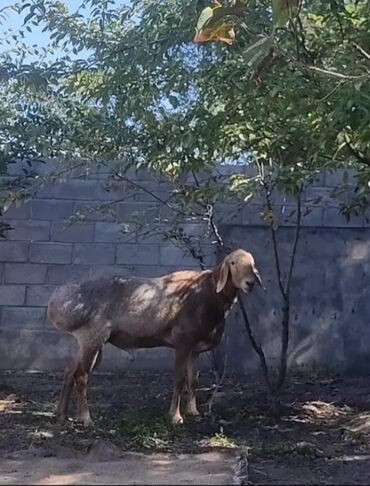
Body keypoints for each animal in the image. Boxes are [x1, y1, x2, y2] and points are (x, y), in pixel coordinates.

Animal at [47, 249, 262, 428]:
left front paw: (193, 411)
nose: (250, 283)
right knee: (81, 377)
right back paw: (85, 419)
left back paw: (61, 415)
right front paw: (176, 416)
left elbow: (193, 380)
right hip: (92, 338)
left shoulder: (195, 349)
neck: (209, 294)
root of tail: (59, 302)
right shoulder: (183, 342)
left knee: (69, 371)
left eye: (252, 263)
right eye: (233, 263)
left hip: (86, 341)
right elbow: (179, 379)